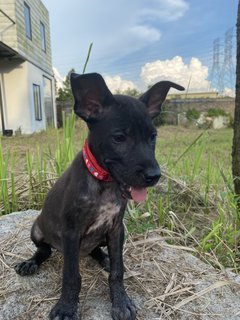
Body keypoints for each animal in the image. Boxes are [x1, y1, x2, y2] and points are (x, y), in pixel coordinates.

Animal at [14, 73, 184, 320]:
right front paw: (66, 308)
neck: (105, 183)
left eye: (153, 137)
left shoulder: (116, 228)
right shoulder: (71, 232)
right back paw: (30, 263)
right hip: (37, 229)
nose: (154, 176)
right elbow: (71, 276)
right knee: (43, 250)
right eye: (119, 137)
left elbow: (118, 270)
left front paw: (121, 301)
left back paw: (104, 258)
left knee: (96, 250)